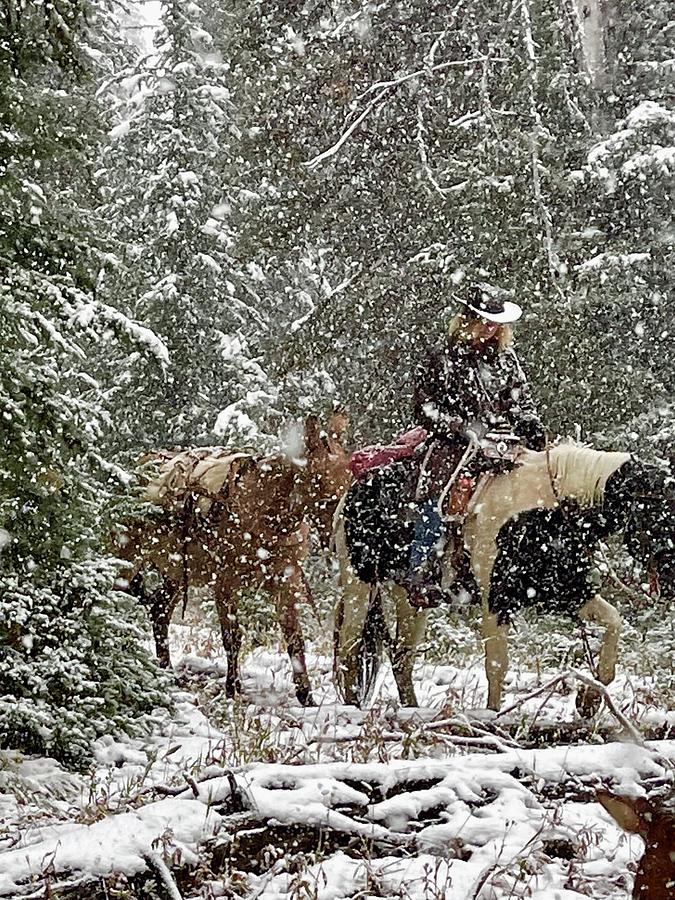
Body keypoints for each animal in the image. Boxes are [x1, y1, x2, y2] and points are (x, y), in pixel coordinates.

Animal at [115, 414, 354, 704]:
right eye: (319, 480)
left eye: (349, 476)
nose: (340, 536)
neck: (266, 514)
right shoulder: (225, 582)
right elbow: (232, 637)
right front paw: (232, 689)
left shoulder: (287, 580)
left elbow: (294, 638)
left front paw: (306, 697)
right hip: (126, 559)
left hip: (176, 573)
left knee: (159, 611)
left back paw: (167, 673)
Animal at [334, 442, 672, 712]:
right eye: (659, 514)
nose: (669, 584)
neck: (544, 509)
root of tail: (355, 488)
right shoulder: (495, 599)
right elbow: (496, 666)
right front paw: (493, 718)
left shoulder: (564, 593)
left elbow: (613, 622)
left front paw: (590, 698)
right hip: (358, 585)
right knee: (349, 650)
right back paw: (353, 710)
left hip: (410, 598)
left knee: (401, 657)